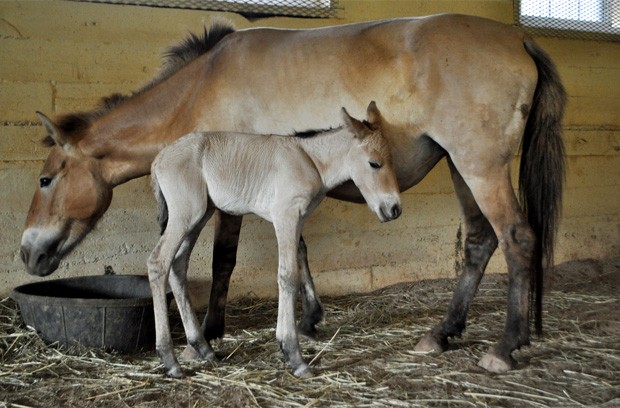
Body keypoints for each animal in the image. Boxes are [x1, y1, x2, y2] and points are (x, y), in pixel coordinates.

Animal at [150, 101, 402, 376]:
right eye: (374, 163)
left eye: (392, 159)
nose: (394, 209)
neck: (310, 160)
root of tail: (158, 160)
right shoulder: (285, 216)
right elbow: (287, 275)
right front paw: (294, 355)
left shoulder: (297, 219)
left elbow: (299, 259)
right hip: (186, 215)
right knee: (158, 262)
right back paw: (170, 360)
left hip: (199, 216)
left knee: (178, 265)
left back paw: (203, 348)